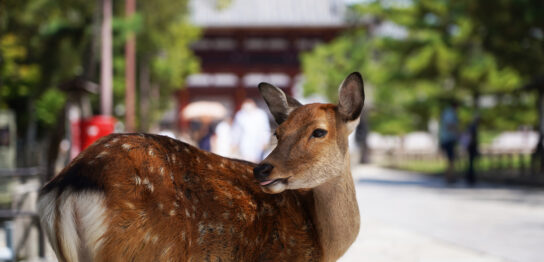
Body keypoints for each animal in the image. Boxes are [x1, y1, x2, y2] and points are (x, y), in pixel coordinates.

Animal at [38, 72, 366, 262]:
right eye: (278, 132)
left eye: (319, 132)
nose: (263, 169)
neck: (324, 247)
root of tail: (67, 184)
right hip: (143, 251)